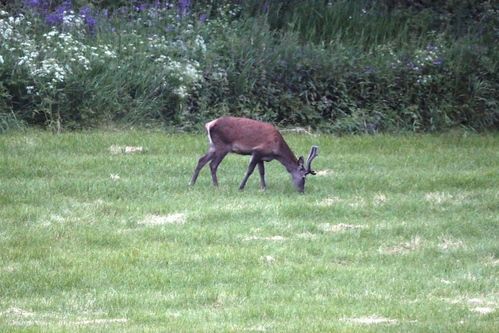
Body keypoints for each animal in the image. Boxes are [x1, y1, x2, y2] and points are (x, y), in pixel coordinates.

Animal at [189, 116, 318, 192]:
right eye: (303, 177)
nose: (301, 191)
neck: (276, 151)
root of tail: (209, 124)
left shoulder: (262, 156)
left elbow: (262, 171)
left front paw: (264, 188)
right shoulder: (257, 151)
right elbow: (250, 170)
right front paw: (241, 187)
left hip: (213, 146)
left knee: (201, 160)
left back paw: (191, 183)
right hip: (222, 146)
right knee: (213, 164)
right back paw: (216, 185)